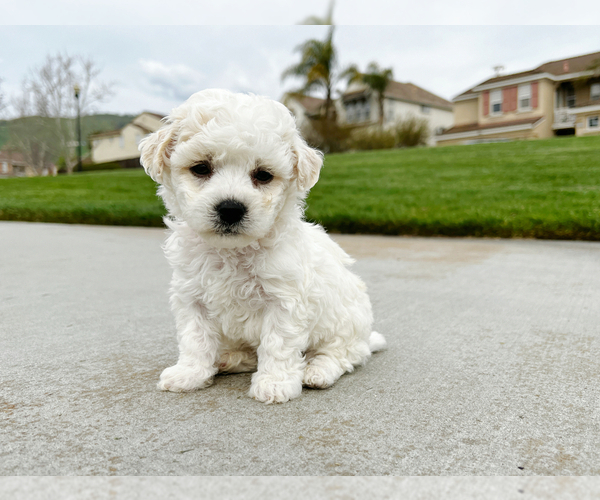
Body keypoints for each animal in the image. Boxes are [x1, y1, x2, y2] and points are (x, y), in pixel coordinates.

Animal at [139, 89, 386, 402]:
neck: (232, 251)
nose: (230, 208)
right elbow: (195, 338)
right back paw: (229, 359)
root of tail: (367, 337)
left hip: (346, 323)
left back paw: (316, 372)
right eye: (201, 168)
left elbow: (277, 344)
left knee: (343, 354)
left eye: (263, 175)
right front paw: (189, 373)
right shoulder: (191, 296)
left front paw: (275, 383)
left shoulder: (284, 300)